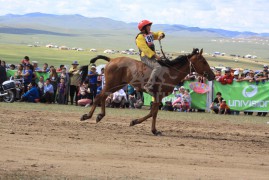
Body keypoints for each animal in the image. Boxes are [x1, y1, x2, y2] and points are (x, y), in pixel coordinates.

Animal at [79, 48, 214, 136]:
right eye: (203, 61)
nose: (212, 75)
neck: (170, 73)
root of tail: (111, 59)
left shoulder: (158, 97)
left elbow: (154, 113)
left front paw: (154, 130)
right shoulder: (158, 95)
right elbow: (152, 113)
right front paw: (135, 122)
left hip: (117, 85)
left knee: (102, 97)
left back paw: (99, 116)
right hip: (112, 84)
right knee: (98, 96)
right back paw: (87, 116)